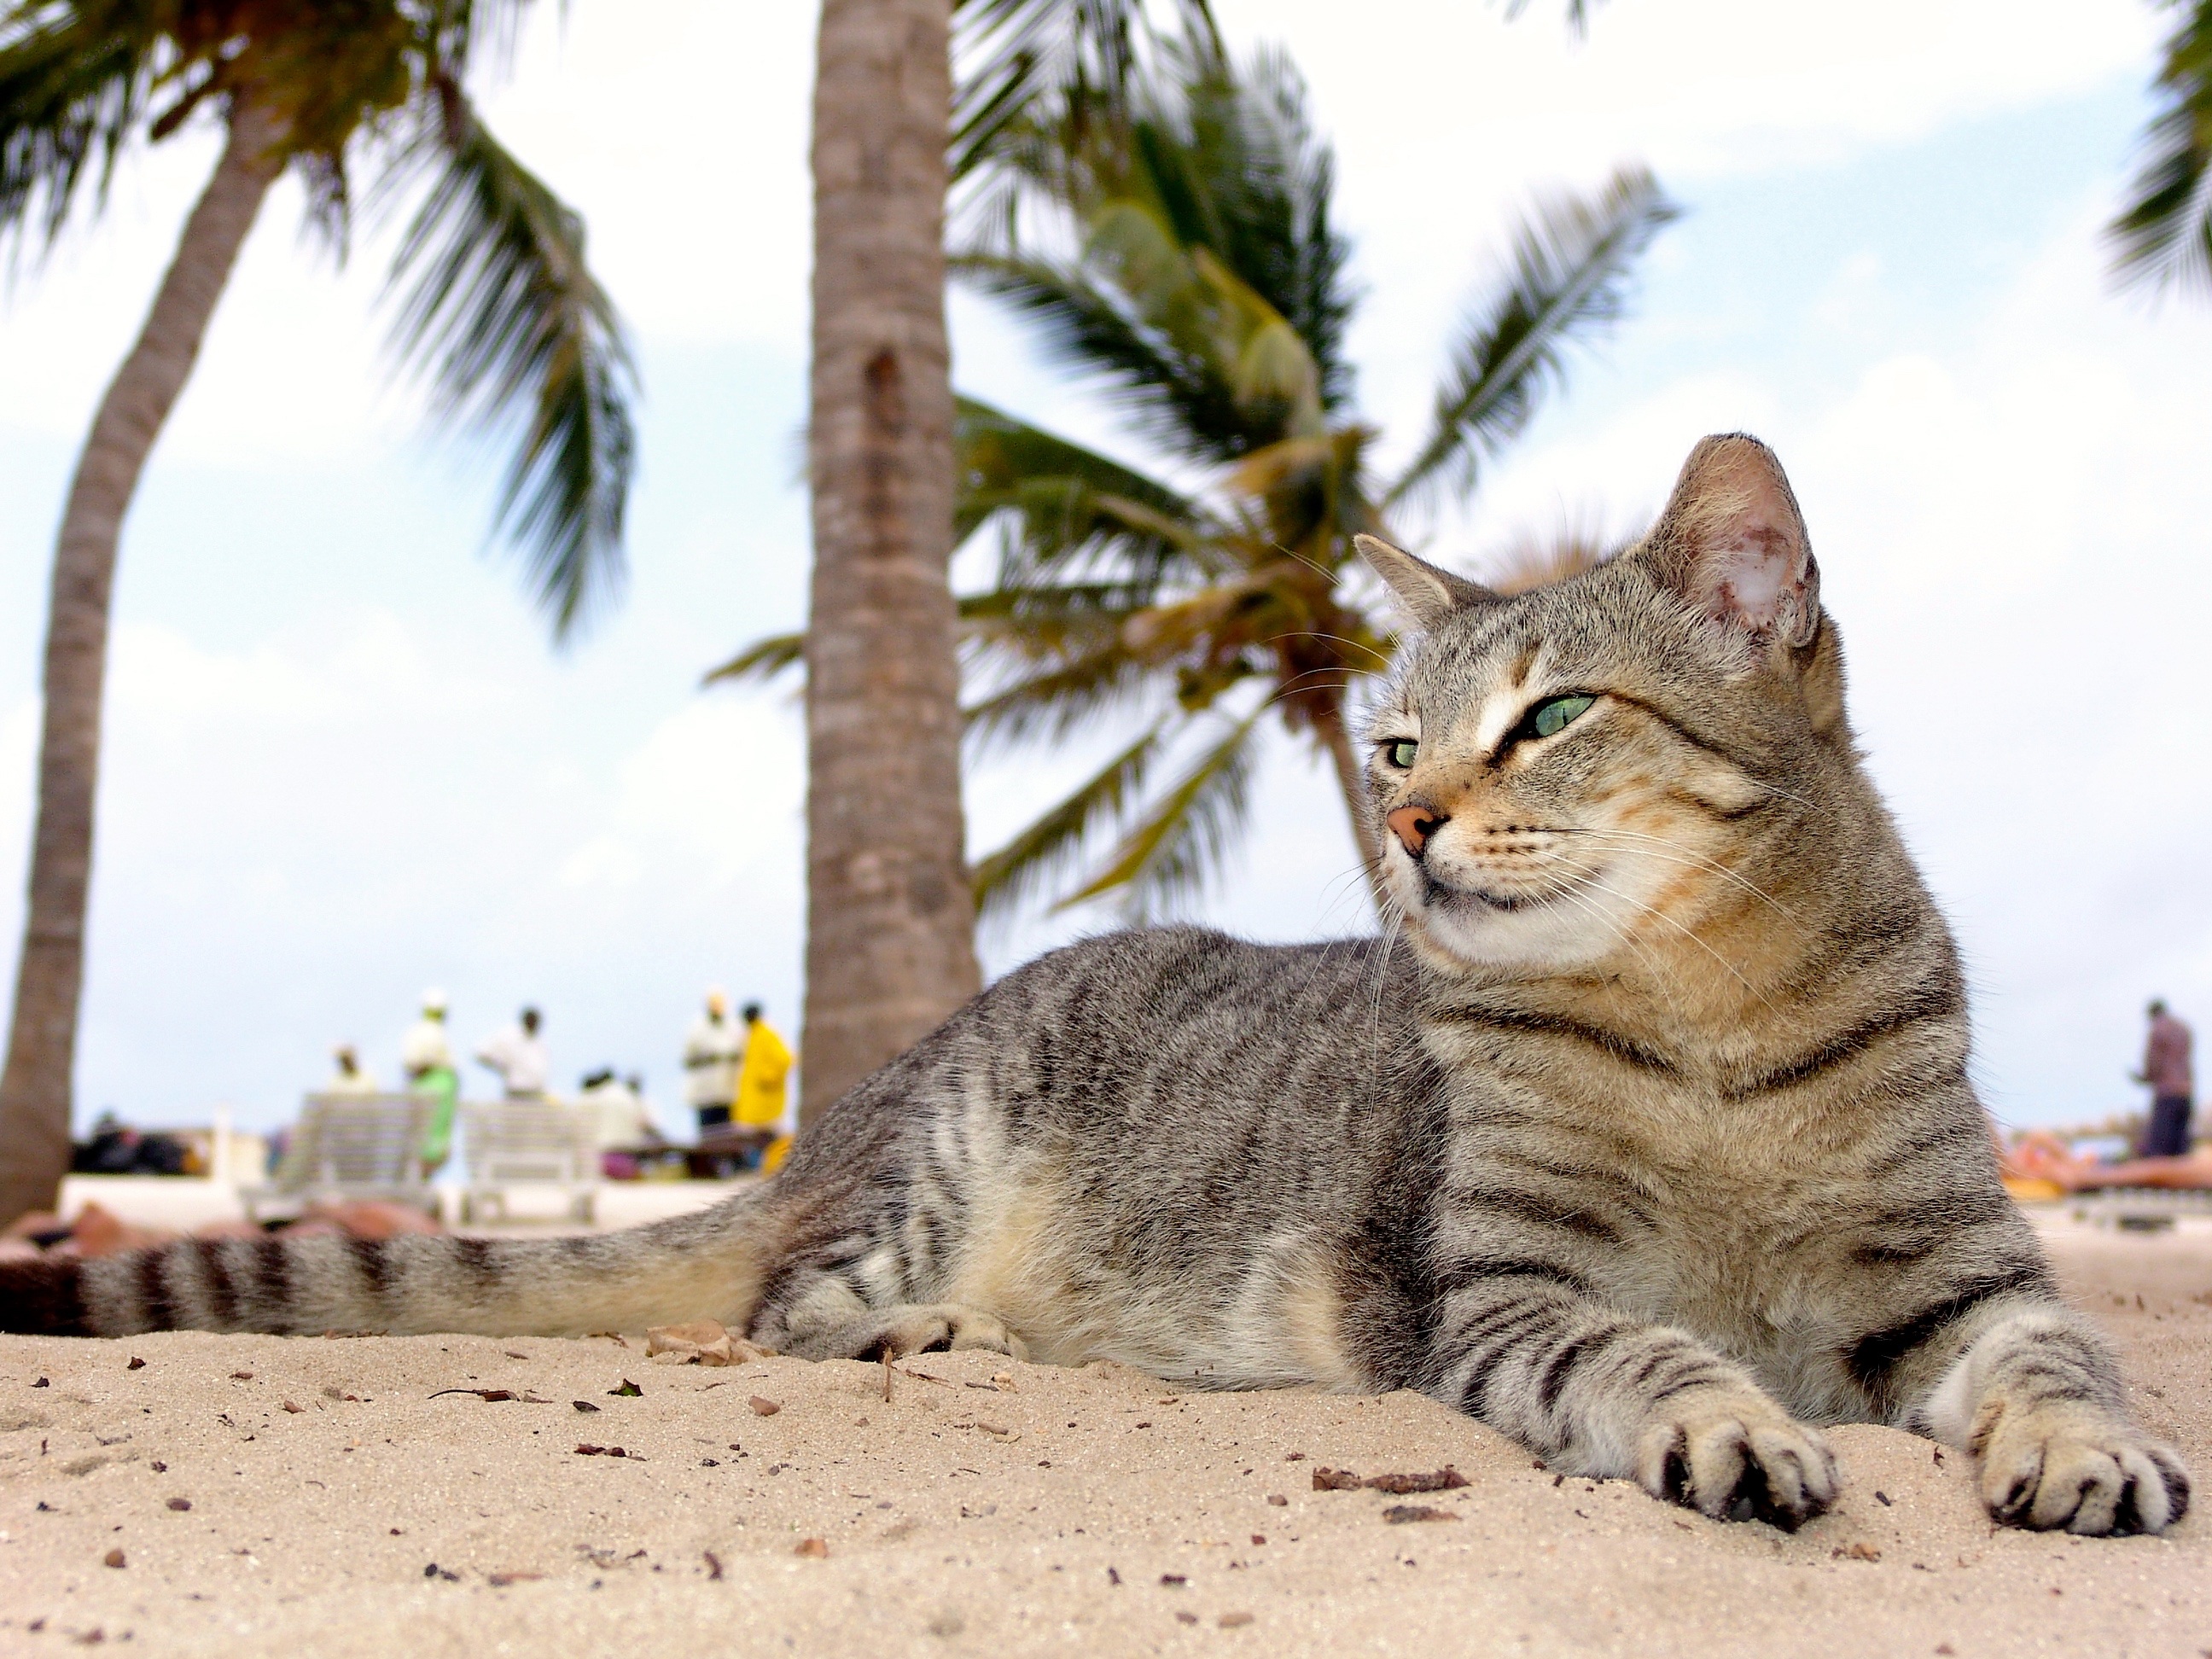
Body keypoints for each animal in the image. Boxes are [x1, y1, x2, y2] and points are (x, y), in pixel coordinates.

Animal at [0, 442, 2185, 1548]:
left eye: (1549, 717)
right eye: (1401, 746)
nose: (1407, 825)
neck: (1709, 1024)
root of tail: (872, 1084)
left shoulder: (1960, 1278)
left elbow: (2063, 1359)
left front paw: (2079, 1451)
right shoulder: (1502, 1298)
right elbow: (1646, 1356)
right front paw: (1727, 1426)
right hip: (938, 1174)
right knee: (782, 1306)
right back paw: (932, 1334)